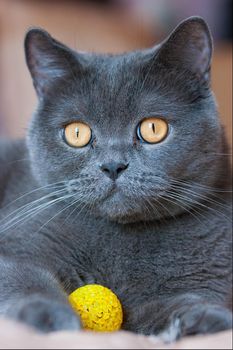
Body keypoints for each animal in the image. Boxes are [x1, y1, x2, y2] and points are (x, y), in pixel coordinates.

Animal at [0, 17, 233, 342]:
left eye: (153, 128)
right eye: (76, 133)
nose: (113, 165)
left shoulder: (207, 276)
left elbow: (167, 305)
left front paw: (201, 318)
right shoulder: (17, 243)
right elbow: (22, 275)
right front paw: (46, 313)